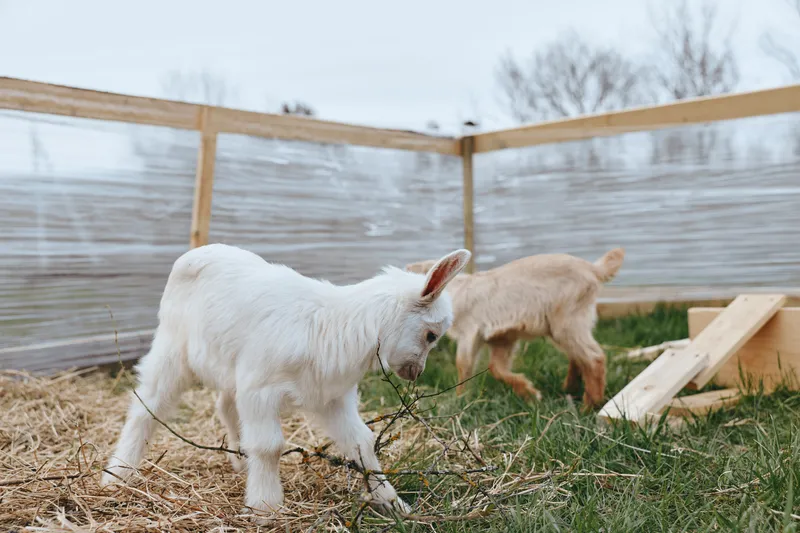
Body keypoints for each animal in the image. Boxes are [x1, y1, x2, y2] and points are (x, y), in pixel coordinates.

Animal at [101, 243, 471, 519]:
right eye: (431, 335)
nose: (417, 372)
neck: (335, 325)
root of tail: (195, 253)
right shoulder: (260, 388)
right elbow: (269, 446)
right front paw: (266, 506)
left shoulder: (331, 397)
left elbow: (361, 442)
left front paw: (393, 503)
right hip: (173, 348)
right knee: (146, 408)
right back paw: (118, 473)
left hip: (231, 367)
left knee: (225, 405)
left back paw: (239, 461)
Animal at [405, 248, 624, 408]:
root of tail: (594, 269)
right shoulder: (502, 338)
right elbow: (496, 368)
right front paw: (530, 394)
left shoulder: (470, 332)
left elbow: (464, 365)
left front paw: (460, 401)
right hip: (566, 324)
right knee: (578, 357)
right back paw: (570, 389)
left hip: (568, 320)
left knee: (594, 357)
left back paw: (589, 406)